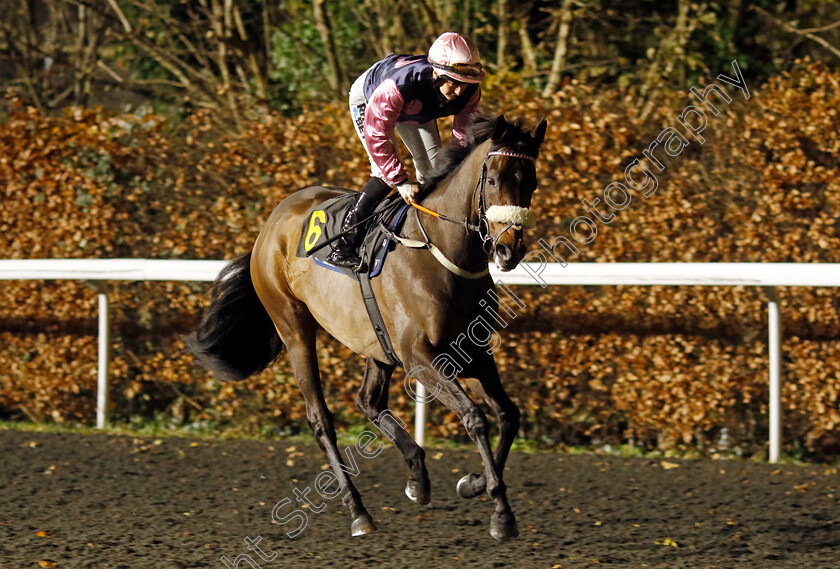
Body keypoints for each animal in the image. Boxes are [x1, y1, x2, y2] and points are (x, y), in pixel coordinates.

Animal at [187, 113, 548, 540]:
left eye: (531, 181)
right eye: (492, 180)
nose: (509, 250)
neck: (443, 253)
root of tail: (271, 224)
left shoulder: (471, 350)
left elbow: (508, 415)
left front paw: (474, 484)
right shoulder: (419, 356)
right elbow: (475, 417)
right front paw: (500, 513)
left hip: (377, 341)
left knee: (369, 401)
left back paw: (417, 476)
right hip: (293, 326)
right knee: (320, 418)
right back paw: (358, 510)